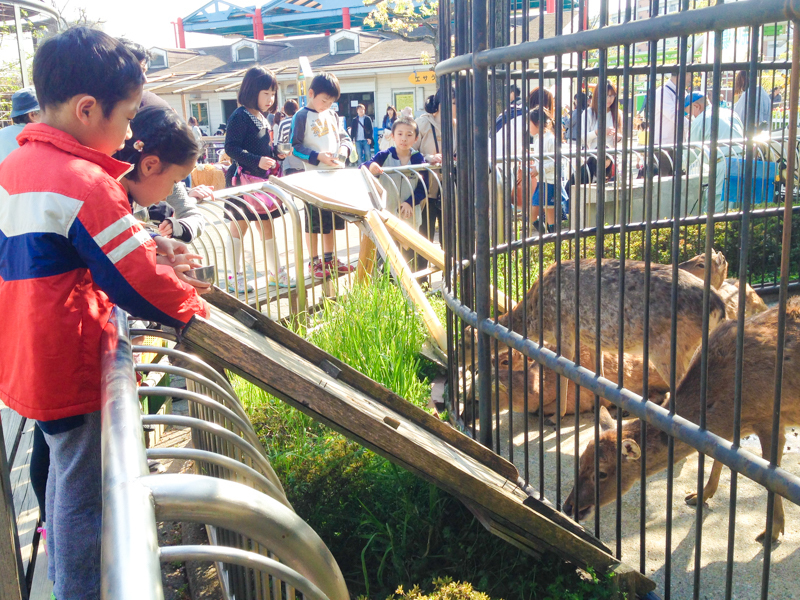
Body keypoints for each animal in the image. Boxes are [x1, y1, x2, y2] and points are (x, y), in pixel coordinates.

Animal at [564, 298, 800, 548]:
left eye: (601, 473)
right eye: (580, 461)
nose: (568, 506)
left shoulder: (769, 418)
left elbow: (772, 477)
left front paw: (772, 532)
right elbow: (719, 456)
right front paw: (699, 495)